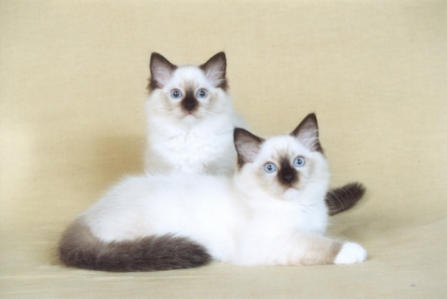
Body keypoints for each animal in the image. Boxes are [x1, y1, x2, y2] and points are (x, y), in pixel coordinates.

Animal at [58, 113, 368, 274]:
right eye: (270, 168)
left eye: (298, 162)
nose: (288, 178)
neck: (299, 208)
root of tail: (87, 214)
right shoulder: (271, 243)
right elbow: (319, 245)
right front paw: (353, 251)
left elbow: (317, 237)